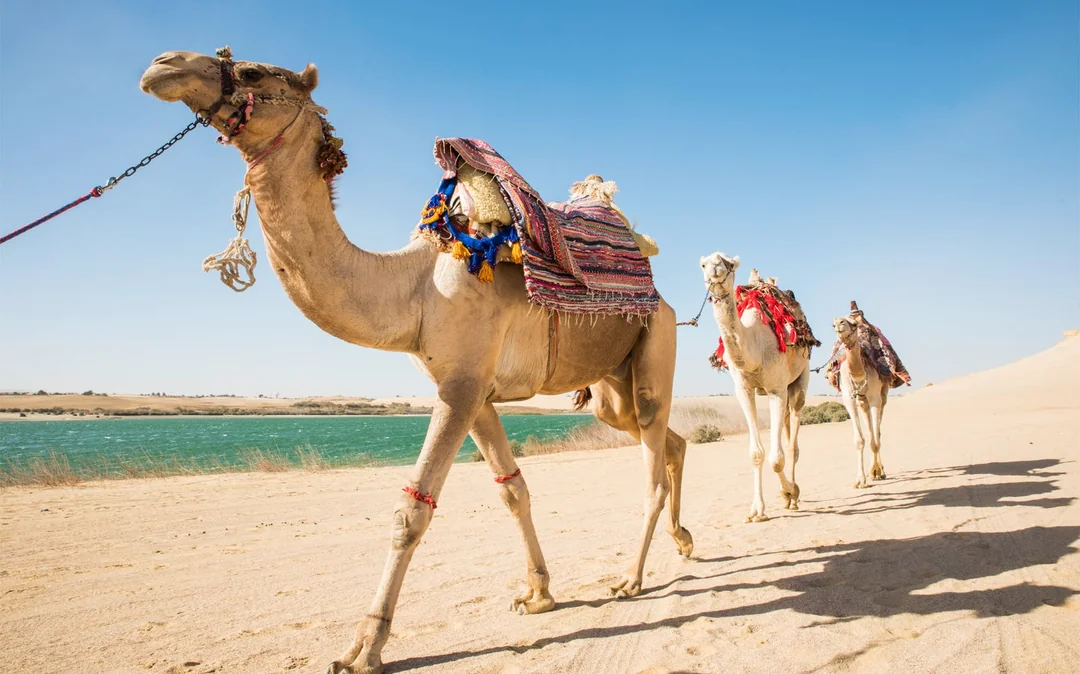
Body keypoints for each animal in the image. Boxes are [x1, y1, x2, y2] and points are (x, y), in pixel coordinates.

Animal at [140, 49, 692, 674]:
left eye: (255, 72)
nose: (164, 65)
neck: (417, 288)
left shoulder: (461, 384)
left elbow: (412, 512)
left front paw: (364, 646)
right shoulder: (474, 391)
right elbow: (512, 490)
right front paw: (538, 593)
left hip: (655, 340)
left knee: (652, 458)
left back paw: (630, 578)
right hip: (609, 385)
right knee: (667, 440)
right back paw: (684, 542)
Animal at [700, 253, 813, 522]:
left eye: (728, 263)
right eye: (703, 264)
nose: (715, 268)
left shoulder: (776, 389)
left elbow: (776, 458)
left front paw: (789, 492)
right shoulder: (743, 389)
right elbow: (757, 453)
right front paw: (757, 510)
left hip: (799, 380)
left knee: (792, 442)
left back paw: (794, 495)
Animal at [832, 312, 889, 488]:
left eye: (854, 324)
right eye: (833, 325)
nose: (839, 323)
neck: (858, 374)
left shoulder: (875, 397)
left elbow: (875, 440)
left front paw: (876, 472)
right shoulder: (848, 398)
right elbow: (860, 440)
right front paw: (860, 480)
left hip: (882, 395)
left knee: (877, 433)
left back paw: (880, 471)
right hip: (862, 401)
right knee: (870, 430)